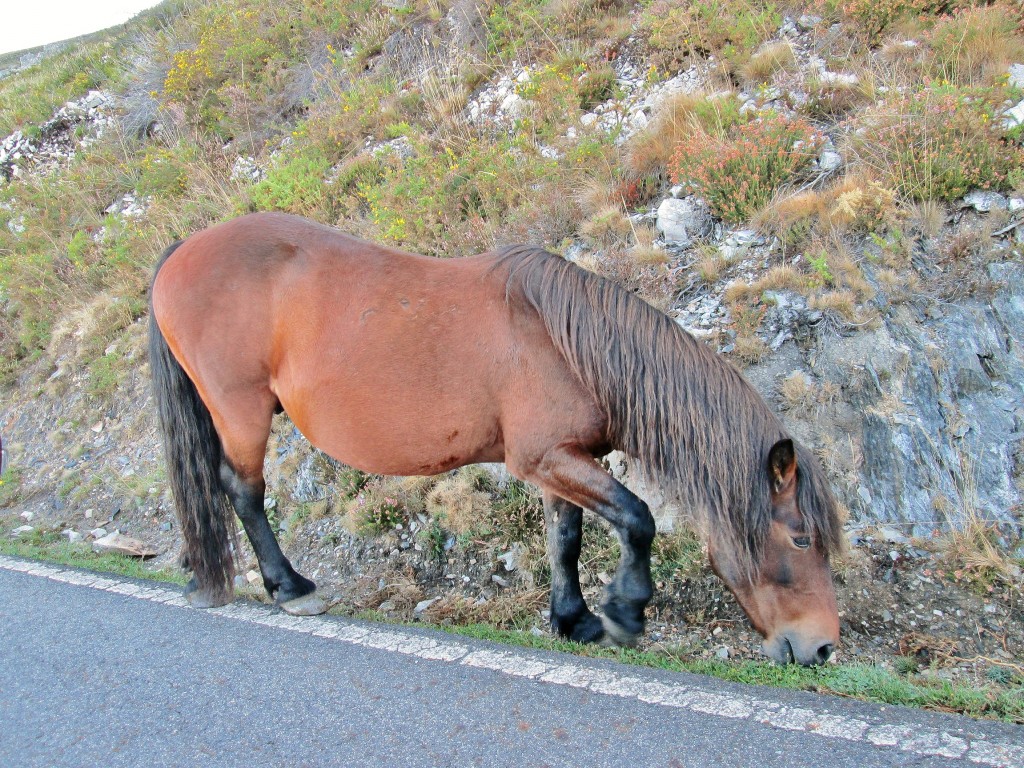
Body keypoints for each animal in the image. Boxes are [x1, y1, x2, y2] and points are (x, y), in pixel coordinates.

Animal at [149, 211, 839, 667]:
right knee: (243, 491)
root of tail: (182, 252)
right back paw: (290, 588)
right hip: (241, 411)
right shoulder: (545, 458)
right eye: (801, 538)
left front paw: (574, 619)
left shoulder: (562, 462)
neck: (565, 341)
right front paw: (624, 610)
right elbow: (638, 518)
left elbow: (566, 540)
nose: (823, 646)